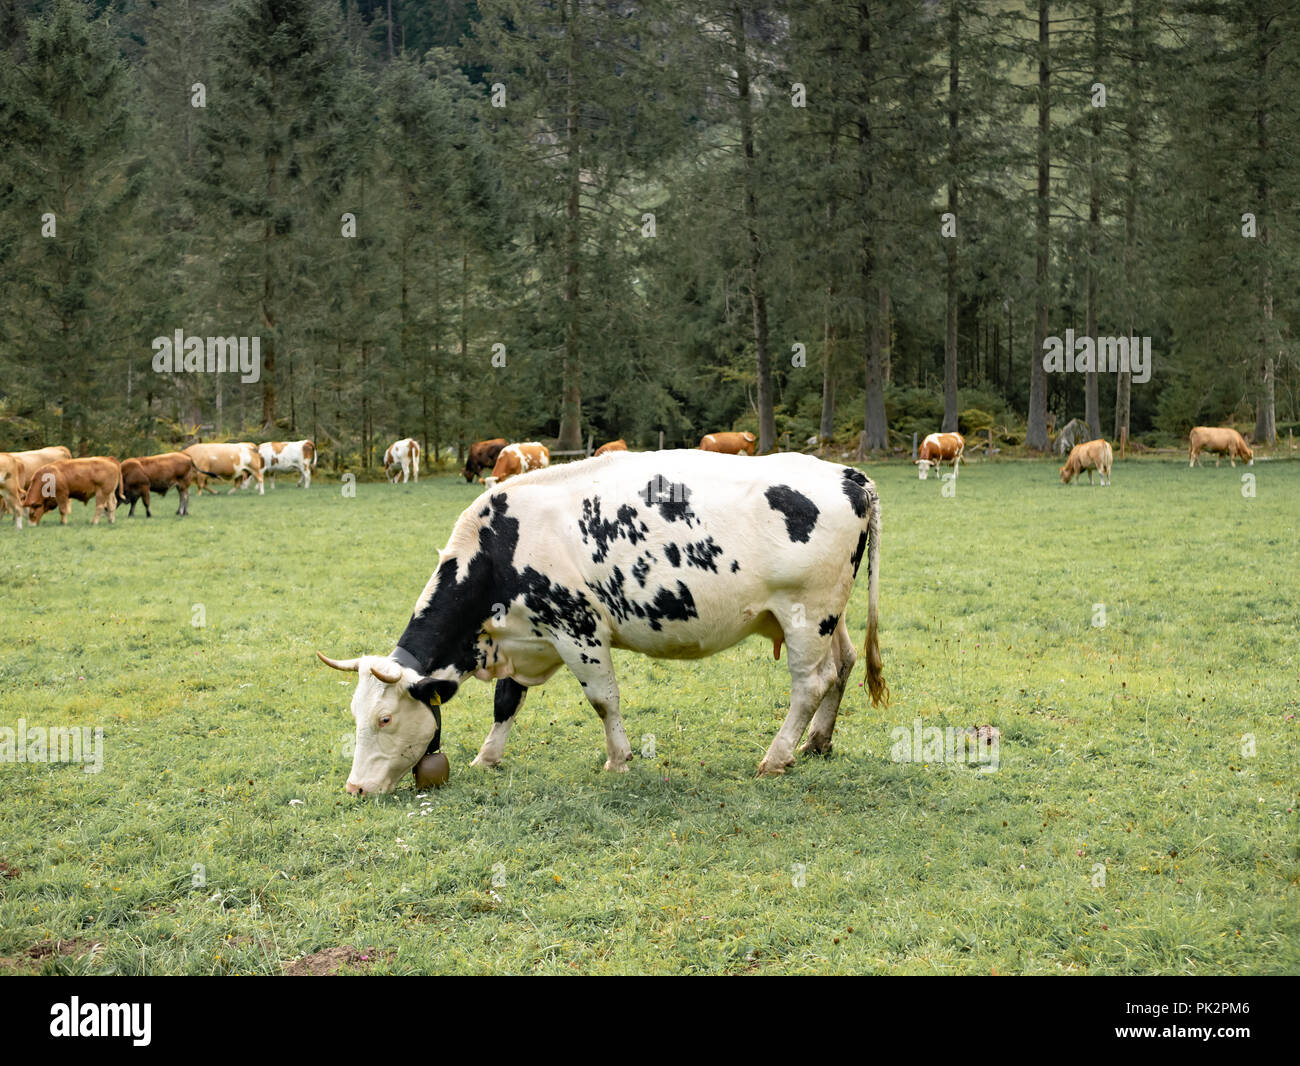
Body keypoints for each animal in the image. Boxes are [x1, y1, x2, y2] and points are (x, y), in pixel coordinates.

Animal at [316, 449, 886, 794]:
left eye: (384, 719)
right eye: (355, 714)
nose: (355, 787)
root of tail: (846, 474)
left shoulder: (577, 629)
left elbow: (602, 699)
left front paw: (618, 759)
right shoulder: (528, 636)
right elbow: (507, 700)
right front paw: (487, 757)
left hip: (806, 613)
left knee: (810, 684)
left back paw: (777, 755)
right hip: (829, 616)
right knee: (842, 666)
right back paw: (817, 742)